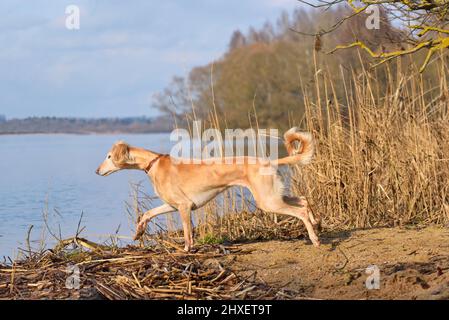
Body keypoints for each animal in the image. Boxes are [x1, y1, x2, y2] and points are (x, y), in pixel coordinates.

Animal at [97, 127, 322, 250]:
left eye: (108, 157)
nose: (97, 171)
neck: (153, 164)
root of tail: (270, 162)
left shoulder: (184, 206)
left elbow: (187, 232)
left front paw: (187, 250)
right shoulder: (171, 205)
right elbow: (147, 214)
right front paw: (138, 233)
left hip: (268, 201)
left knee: (300, 211)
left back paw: (315, 238)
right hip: (274, 196)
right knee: (303, 200)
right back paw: (315, 221)